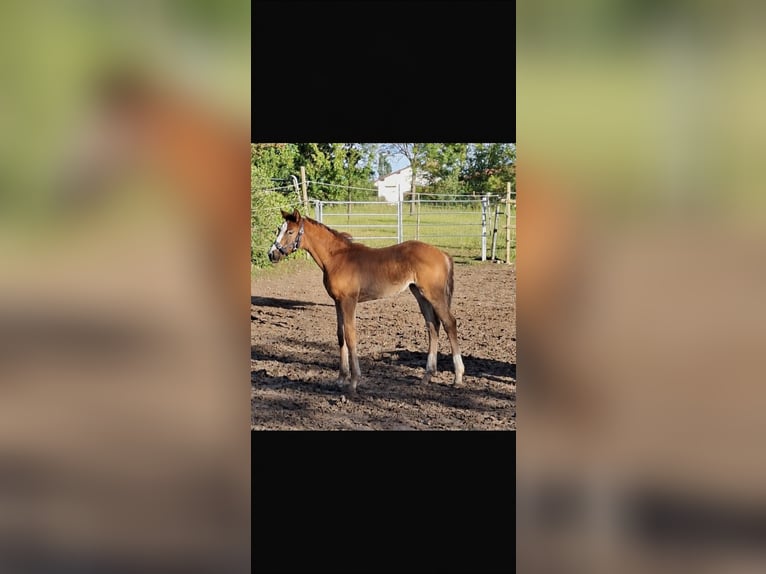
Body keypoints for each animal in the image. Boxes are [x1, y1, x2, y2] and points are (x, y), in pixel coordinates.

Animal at [268, 209, 465, 393]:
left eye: (290, 232)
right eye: (279, 229)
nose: (271, 254)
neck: (336, 258)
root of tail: (443, 254)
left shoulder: (349, 301)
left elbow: (350, 336)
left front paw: (354, 381)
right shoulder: (337, 302)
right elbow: (340, 336)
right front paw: (341, 379)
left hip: (434, 295)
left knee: (449, 323)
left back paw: (457, 377)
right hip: (420, 294)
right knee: (432, 326)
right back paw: (427, 376)